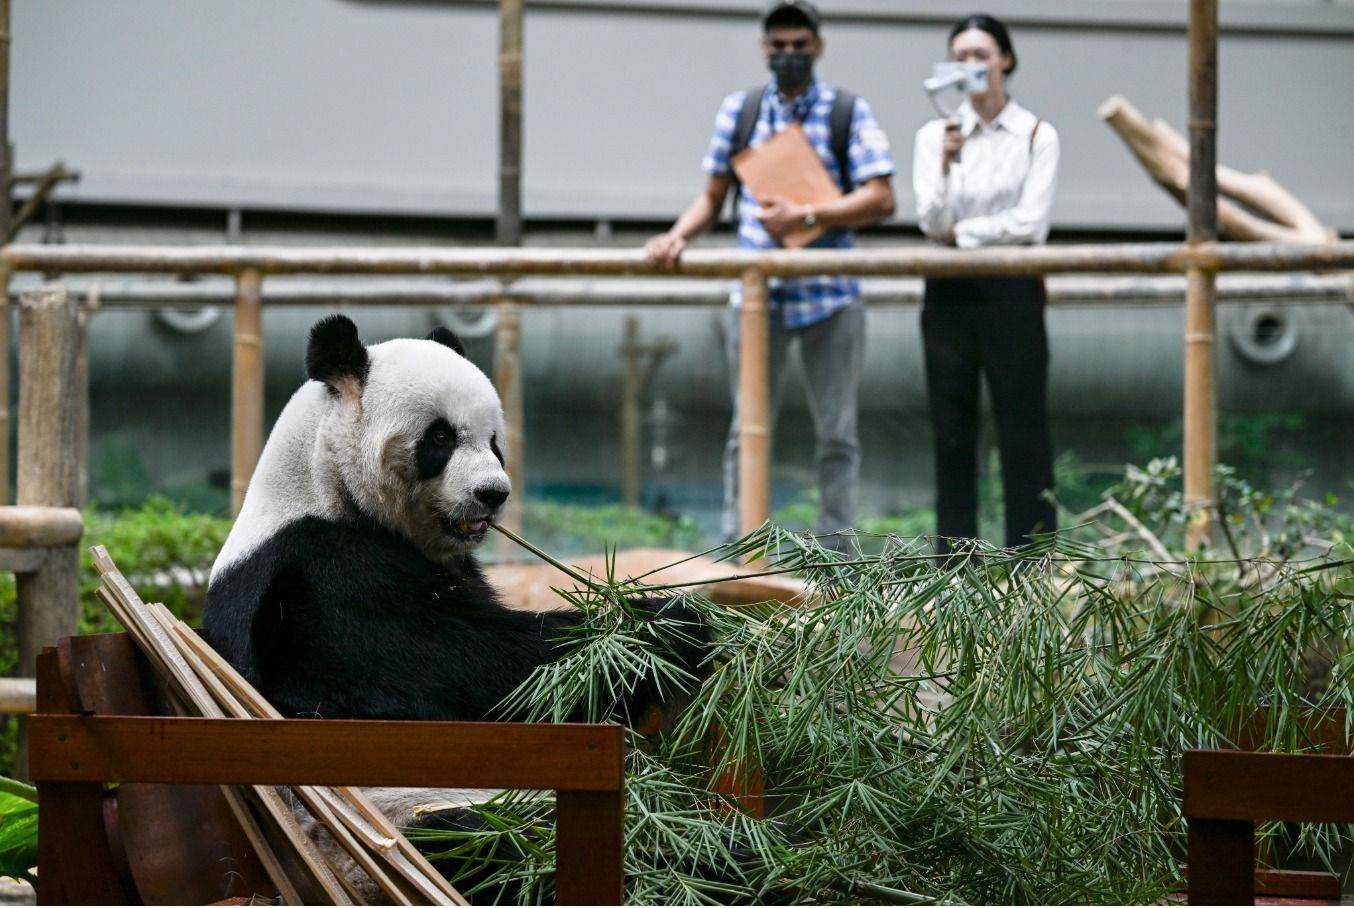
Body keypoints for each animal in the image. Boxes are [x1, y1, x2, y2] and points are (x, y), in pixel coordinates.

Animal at [203, 314, 708, 900]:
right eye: (440, 437)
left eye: (494, 441)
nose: (493, 493)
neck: (321, 481)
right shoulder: (319, 583)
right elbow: (475, 672)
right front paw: (670, 624)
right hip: (391, 828)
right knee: (494, 847)